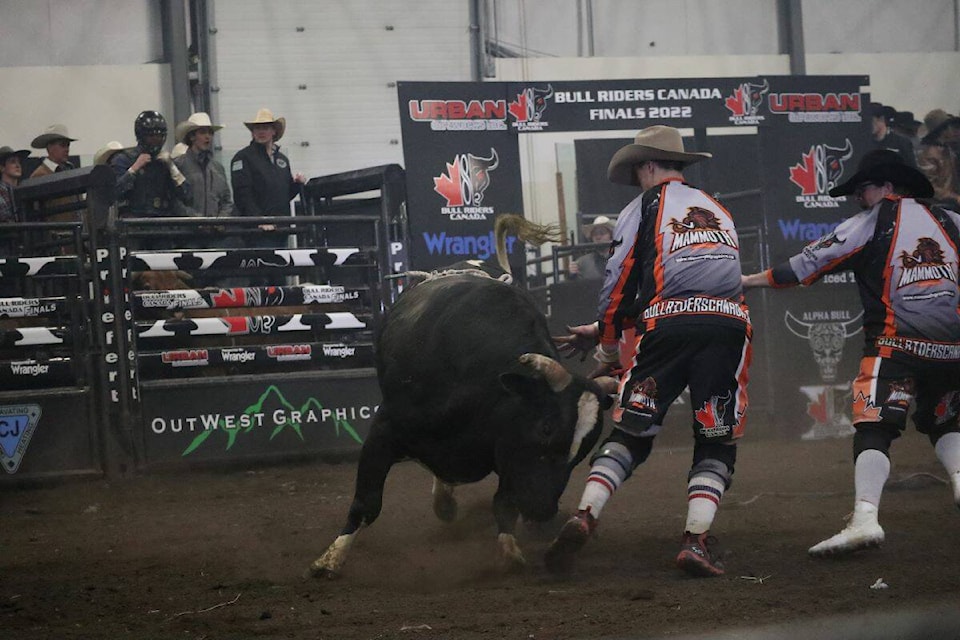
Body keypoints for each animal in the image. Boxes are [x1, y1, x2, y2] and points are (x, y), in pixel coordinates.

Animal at [312, 216, 620, 580]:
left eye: (584, 451)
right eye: (546, 427)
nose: (543, 511)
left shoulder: (506, 448)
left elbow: (504, 503)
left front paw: (509, 551)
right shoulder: (384, 429)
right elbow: (366, 502)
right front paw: (330, 559)